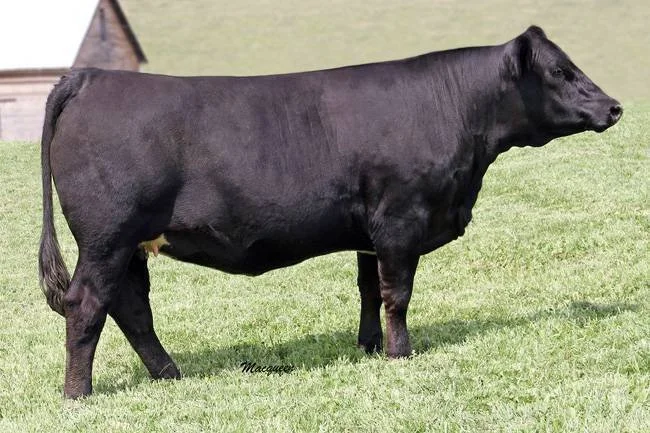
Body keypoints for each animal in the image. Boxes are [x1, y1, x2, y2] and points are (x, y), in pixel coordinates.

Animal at [39, 26, 622, 398]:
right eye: (561, 70)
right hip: (108, 237)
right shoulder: (400, 218)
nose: (614, 106)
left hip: (129, 244)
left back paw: (170, 375)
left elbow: (369, 289)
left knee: (131, 308)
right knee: (87, 305)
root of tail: (90, 77)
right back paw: (78, 394)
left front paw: (368, 347)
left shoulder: (369, 229)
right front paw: (400, 354)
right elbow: (397, 294)